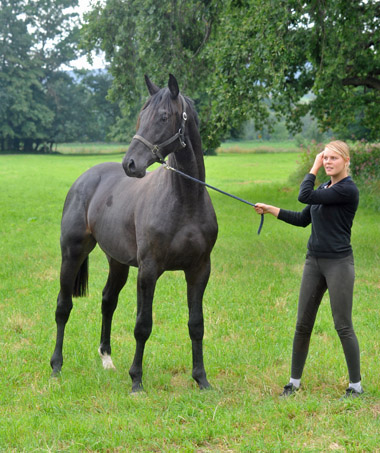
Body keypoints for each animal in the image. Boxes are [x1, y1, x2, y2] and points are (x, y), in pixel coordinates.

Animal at [50, 75, 218, 392]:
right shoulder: (149, 270)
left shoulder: (199, 270)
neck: (185, 200)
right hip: (72, 253)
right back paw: (56, 367)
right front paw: (137, 381)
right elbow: (143, 325)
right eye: (141, 117)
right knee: (63, 307)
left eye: (163, 117)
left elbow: (197, 324)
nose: (130, 164)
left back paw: (107, 359)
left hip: (117, 263)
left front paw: (201, 379)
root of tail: (85, 178)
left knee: (107, 301)